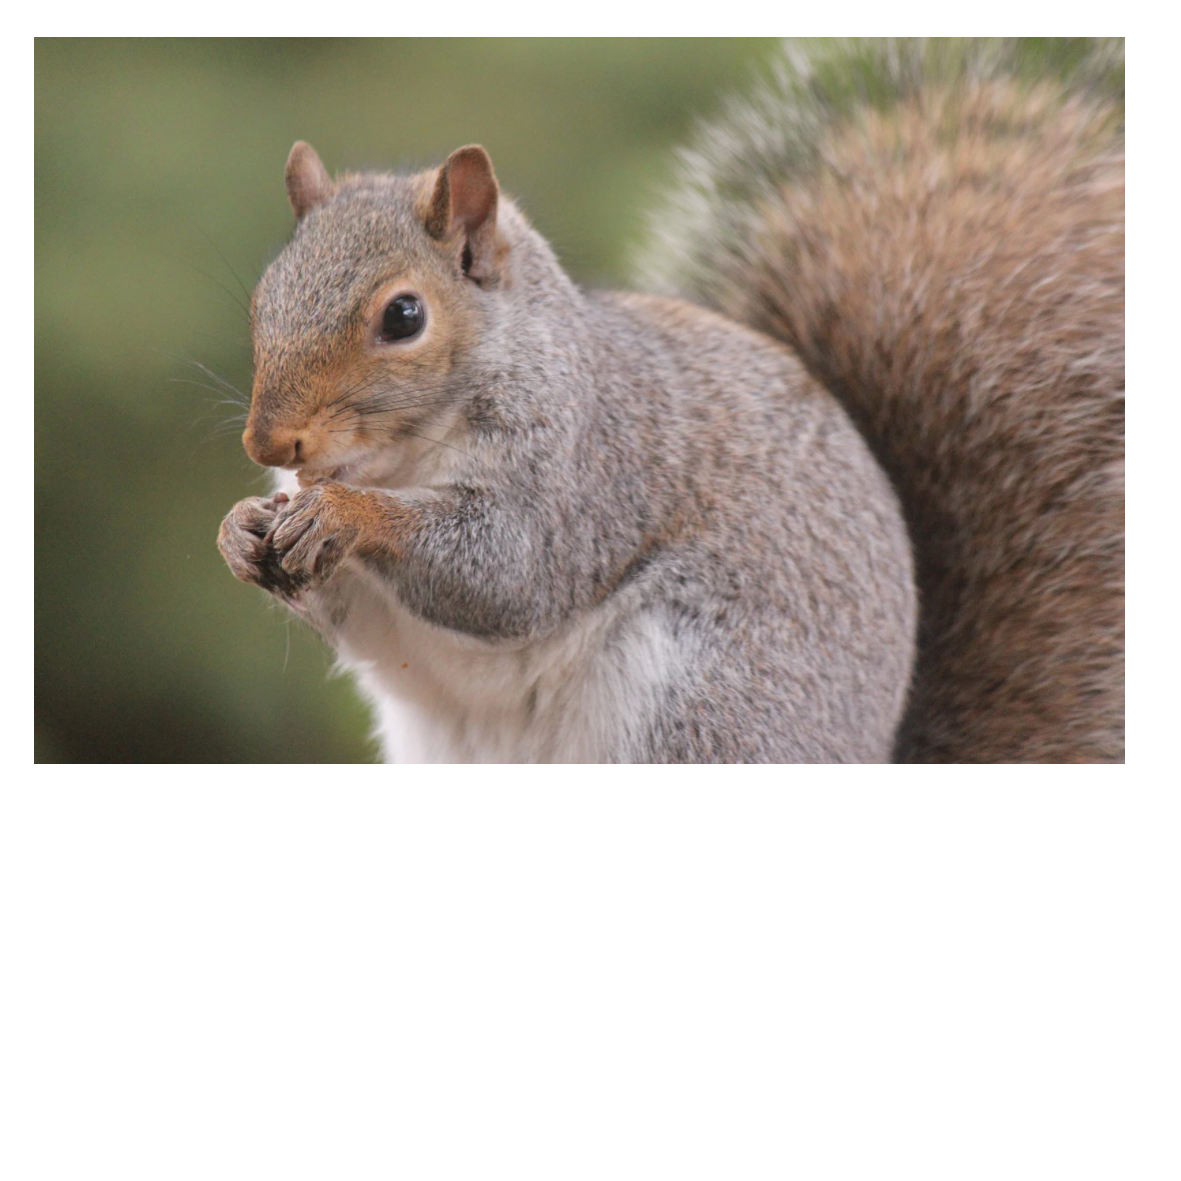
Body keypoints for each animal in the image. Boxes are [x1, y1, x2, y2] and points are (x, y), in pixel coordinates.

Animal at [214, 36, 1124, 760]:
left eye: (403, 316)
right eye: (263, 295)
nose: (268, 444)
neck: (398, 457)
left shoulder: (585, 470)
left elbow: (509, 572)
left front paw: (347, 514)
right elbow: (355, 616)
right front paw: (240, 529)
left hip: (705, 703)